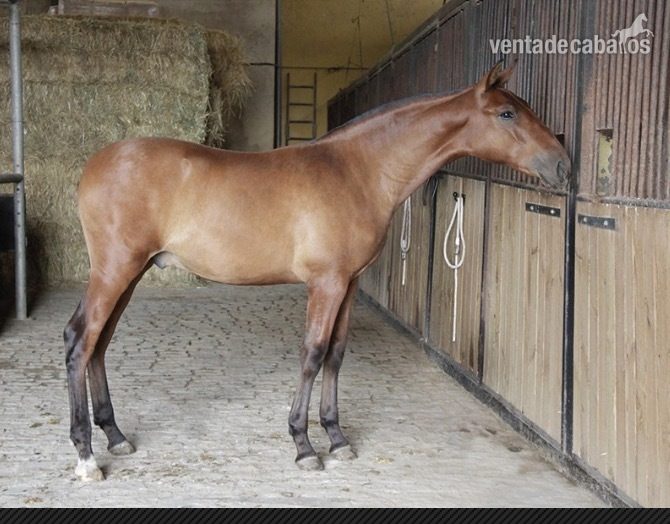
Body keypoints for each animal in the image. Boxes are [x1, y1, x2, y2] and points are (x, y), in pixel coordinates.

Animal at [64, 61, 570, 481]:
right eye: (507, 114)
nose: (563, 165)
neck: (357, 171)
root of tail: (94, 164)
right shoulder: (325, 283)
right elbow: (312, 353)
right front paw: (304, 445)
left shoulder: (349, 282)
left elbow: (336, 354)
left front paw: (338, 438)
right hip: (115, 271)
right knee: (80, 341)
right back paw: (87, 457)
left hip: (130, 275)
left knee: (99, 344)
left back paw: (115, 436)